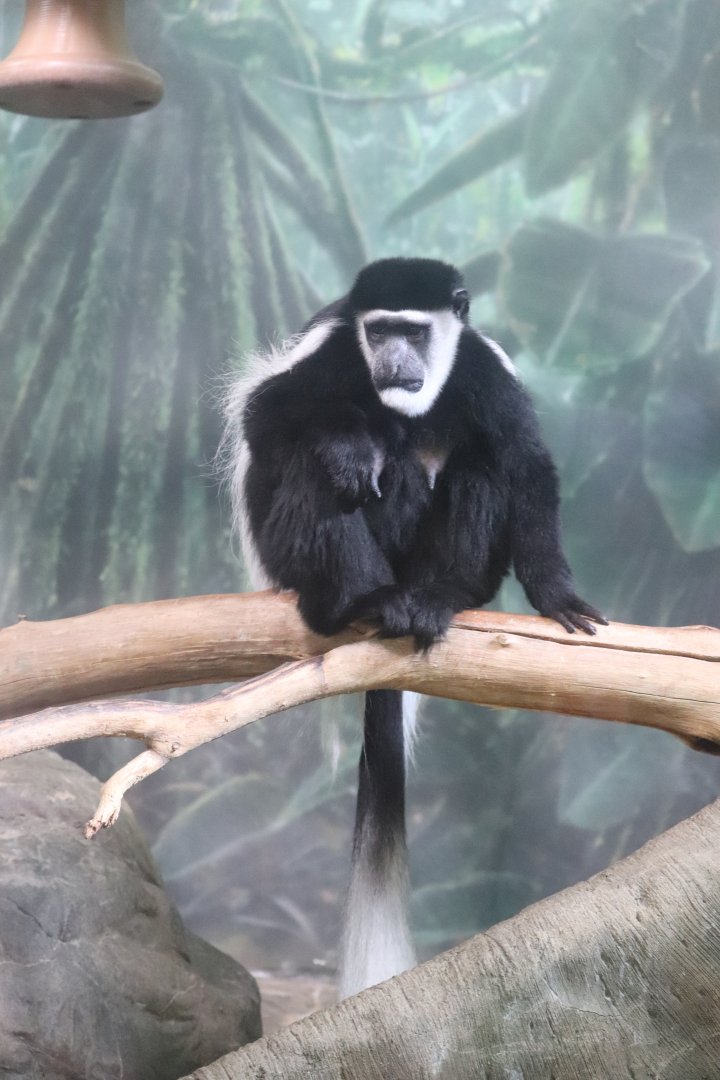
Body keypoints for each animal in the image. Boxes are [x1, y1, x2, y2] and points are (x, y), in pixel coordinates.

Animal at [221, 256, 605, 998]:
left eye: (415, 331)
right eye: (379, 331)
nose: (393, 363)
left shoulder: (486, 373)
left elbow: (524, 463)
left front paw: (557, 595)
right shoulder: (334, 354)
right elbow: (271, 416)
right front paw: (350, 444)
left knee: (481, 466)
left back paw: (436, 597)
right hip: (289, 553)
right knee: (318, 463)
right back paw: (357, 599)